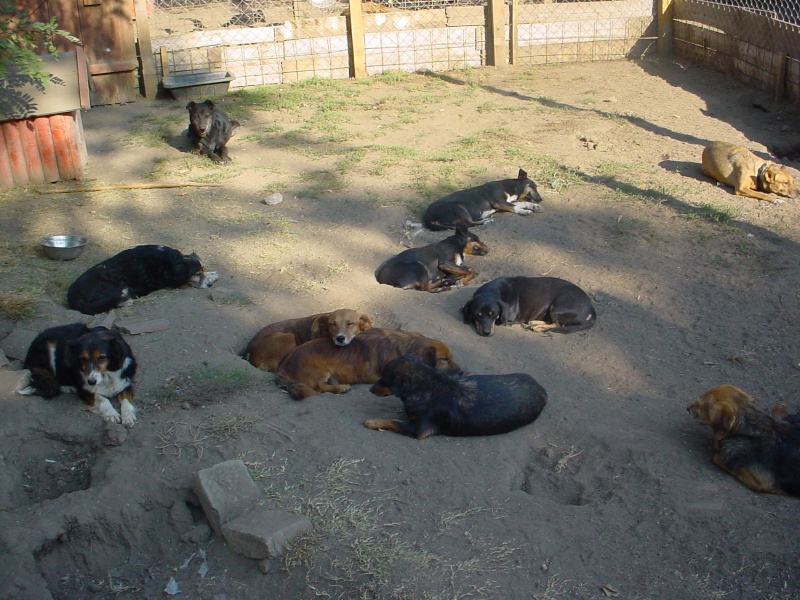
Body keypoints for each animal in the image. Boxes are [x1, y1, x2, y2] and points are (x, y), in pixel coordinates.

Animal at [67, 244, 219, 316]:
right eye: (196, 274)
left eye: (201, 271)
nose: (209, 285)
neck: (171, 262)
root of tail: (73, 297)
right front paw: (210, 277)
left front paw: (212, 274)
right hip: (119, 284)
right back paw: (127, 301)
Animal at [276, 326, 460, 400]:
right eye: (444, 359)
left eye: (452, 357)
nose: (462, 372)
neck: (407, 347)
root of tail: (284, 363)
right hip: (321, 369)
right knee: (319, 387)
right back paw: (341, 388)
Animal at [366, 354, 548, 438]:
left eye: (383, 379)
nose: (370, 389)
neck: (425, 383)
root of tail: (542, 389)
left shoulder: (418, 429)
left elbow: (392, 421)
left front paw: (373, 422)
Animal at [462, 276, 592, 338]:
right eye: (477, 315)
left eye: (493, 314)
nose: (486, 332)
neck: (492, 292)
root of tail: (591, 307)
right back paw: (535, 323)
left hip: (558, 307)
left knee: (558, 325)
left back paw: (539, 327)